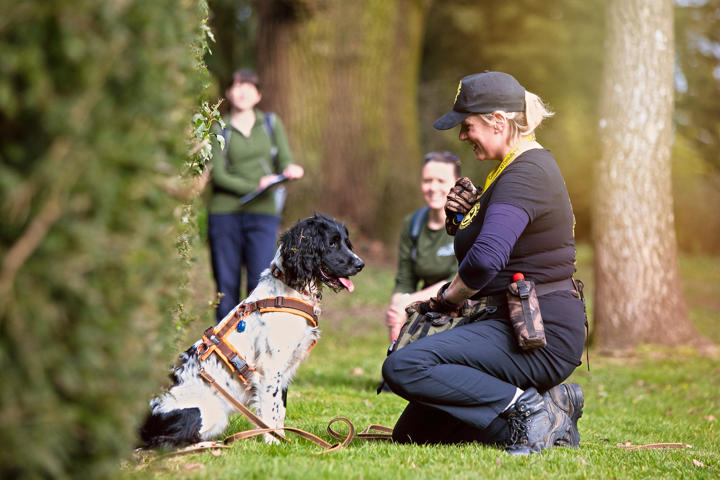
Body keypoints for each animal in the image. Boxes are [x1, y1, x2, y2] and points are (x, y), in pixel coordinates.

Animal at [139, 214, 366, 446]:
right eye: (332, 243)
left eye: (346, 242)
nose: (360, 264)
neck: (290, 290)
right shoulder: (270, 369)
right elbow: (271, 413)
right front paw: (275, 443)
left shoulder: (284, 372)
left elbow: (279, 412)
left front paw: (282, 439)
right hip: (209, 415)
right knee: (161, 443)